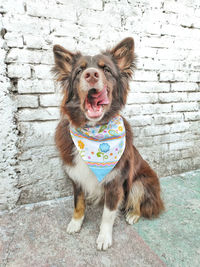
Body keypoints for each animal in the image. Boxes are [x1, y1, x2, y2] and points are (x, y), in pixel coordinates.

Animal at [52, 37, 164, 251]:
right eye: (79, 71)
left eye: (106, 70)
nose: (91, 74)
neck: (95, 134)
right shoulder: (77, 177)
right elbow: (78, 204)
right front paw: (75, 223)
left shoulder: (115, 183)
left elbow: (107, 214)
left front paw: (104, 237)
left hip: (140, 182)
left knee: (141, 203)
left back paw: (133, 214)